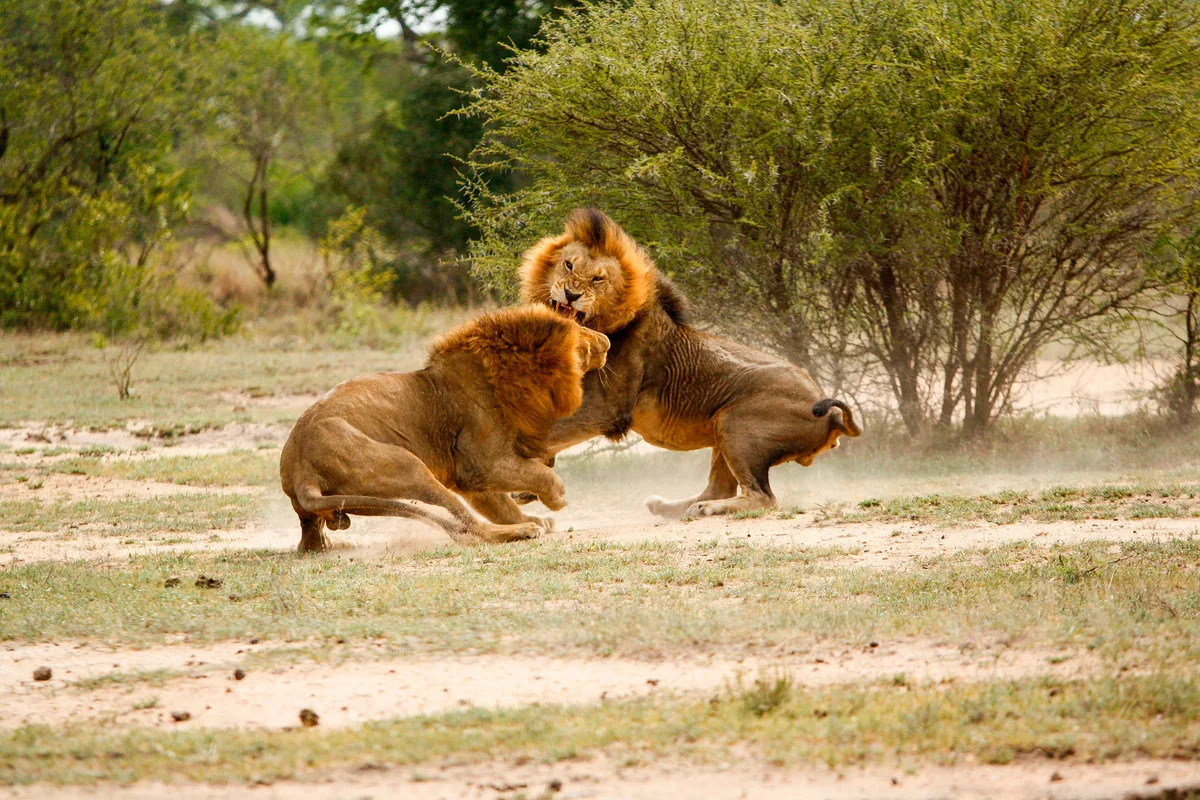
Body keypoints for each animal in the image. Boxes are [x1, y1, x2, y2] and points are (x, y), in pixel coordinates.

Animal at [279, 305, 610, 552]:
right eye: (582, 337)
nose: (607, 341)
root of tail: (300, 469)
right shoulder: (481, 465)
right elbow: (540, 474)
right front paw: (556, 500)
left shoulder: (471, 477)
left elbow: (500, 503)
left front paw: (533, 517)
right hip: (406, 467)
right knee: (468, 528)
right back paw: (522, 531)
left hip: (325, 510)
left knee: (309, 543)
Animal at [507, 208, 861, 518]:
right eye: (568, 265)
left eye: (597, 279)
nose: (571, 294)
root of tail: (830, 413)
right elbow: (550, 433)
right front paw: (526, 487)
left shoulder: (607, 408)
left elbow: (550, 433)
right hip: (724, 427)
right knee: (721, 487)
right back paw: (668, 507)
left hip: (734, 420)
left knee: (762, 497)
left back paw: (706, 509)